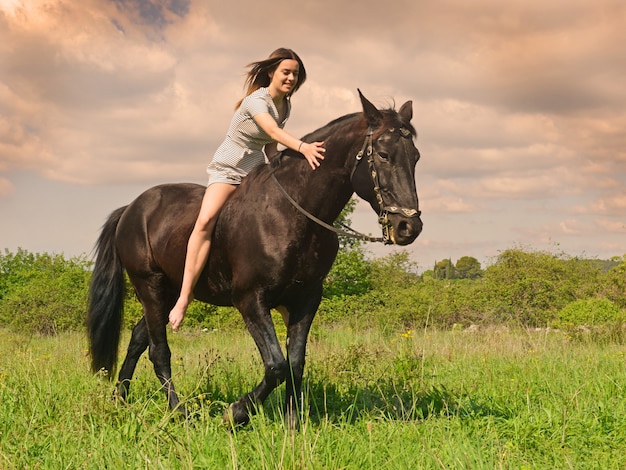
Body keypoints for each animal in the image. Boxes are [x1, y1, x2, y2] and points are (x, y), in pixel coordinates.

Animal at [86, 90, 420, 428]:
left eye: (415, 157)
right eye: (383, 155)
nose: (409, 227)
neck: (294, 213)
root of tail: (131, 209)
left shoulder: (306, 299)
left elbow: (295, 362)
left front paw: (292, 423)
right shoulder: (250, 299)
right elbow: (276, 366)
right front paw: (235, 412)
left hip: (169, 292)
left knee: (139, 339)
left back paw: (120, 400)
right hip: (149, 286)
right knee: (158, 351)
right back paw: (179, 412)